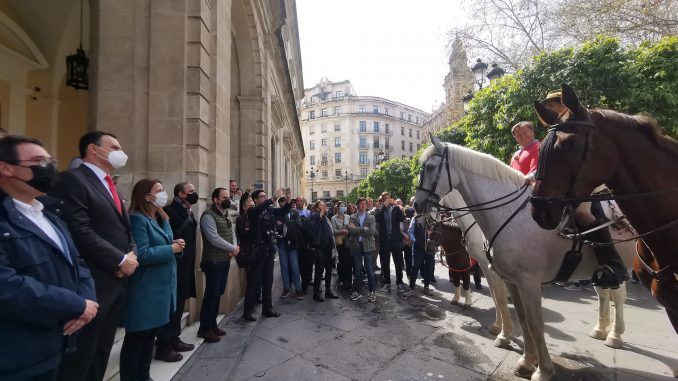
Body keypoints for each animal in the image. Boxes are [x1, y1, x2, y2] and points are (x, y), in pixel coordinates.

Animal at [412, 139, 640, 380]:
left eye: (429, 167)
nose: (416, 205)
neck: (507, 213)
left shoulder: (526, 281)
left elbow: (532, 322)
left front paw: (541, 368)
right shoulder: (508, 277)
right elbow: (517, 314)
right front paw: (523, 357)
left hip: (620, 268)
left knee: (618, 297)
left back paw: (614, 335)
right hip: (595, 271)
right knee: (604, 296)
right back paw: (600, 329)